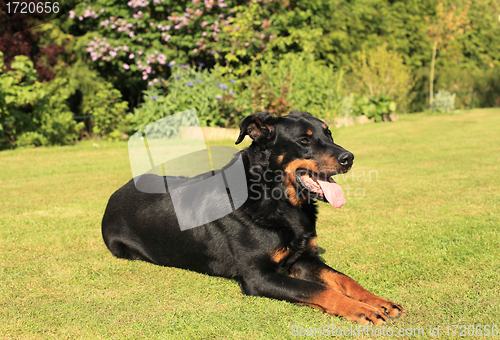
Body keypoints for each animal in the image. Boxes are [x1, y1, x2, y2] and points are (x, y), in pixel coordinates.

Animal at [101, 111, 402, 324]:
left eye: (329, 134)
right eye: (304, 140)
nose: (349, 158)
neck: (277, 199)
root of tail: (114, 194)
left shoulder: (304, 259)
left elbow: (345, 279)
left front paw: (378, 301)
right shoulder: (259, 276)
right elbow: (320, 290)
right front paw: (360, 310)